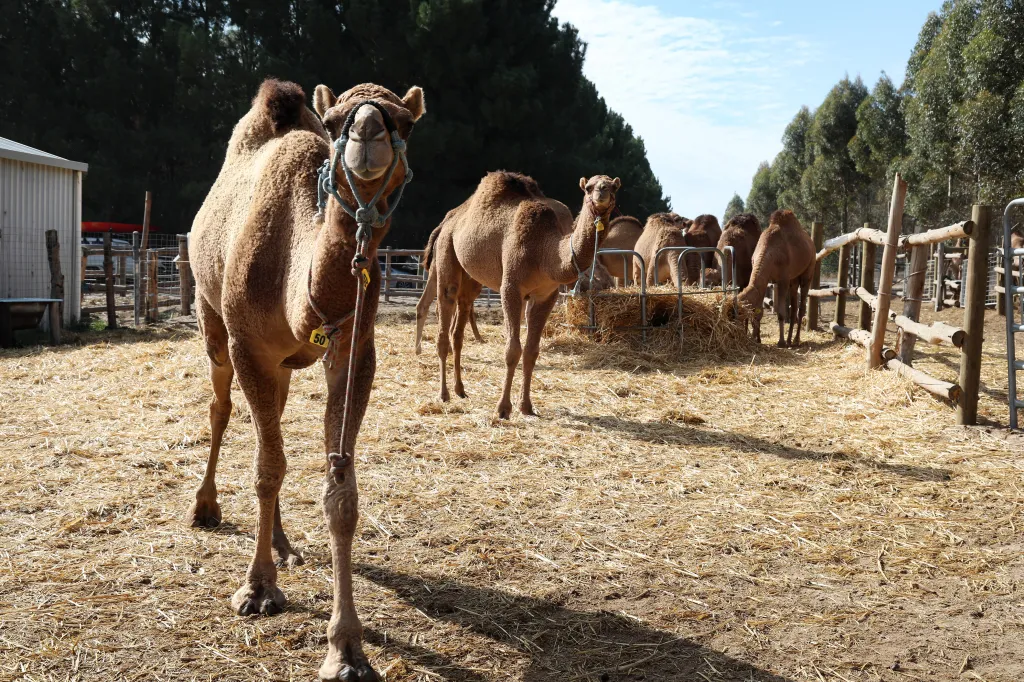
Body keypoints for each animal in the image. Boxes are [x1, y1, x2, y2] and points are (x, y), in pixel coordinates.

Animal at [188, 78, 425, 682]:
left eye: (403, 122)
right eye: (338, 119)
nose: (367, 131)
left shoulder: (353, 351)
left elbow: (339, 491)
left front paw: (346, 649)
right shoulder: (248, 346)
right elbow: (267, 468)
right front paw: (256, 590)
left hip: (283, 367)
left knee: (268, 425)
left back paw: (282, 543)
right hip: (212, 321)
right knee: (223, 411)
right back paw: (205, 508)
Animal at [432, 171, 619, 418]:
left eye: (614, 187)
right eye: (588, 187)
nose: (602, 192)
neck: (545, 252)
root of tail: (449, 218)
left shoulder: (546, 295)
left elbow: (531, 351)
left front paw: (526, 406)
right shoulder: (511, 287)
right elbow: (512, 350)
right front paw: (503, 409)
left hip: (471, 276)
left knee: (459, 325)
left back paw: (460, 390)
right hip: (447, 249)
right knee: (446, 306)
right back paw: (443, 395)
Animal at [737, 209, 815, 347]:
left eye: (739, 312)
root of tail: (810, 242)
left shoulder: (783, 280)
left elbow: (781, 313)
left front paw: (781, 342)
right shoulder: (765, 280)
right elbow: (758, 310)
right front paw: (756, 339)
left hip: (809, 270)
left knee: (801, 307)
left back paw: (795, 340)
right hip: (794, 280)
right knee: (794, 307)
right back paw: (790, 340)